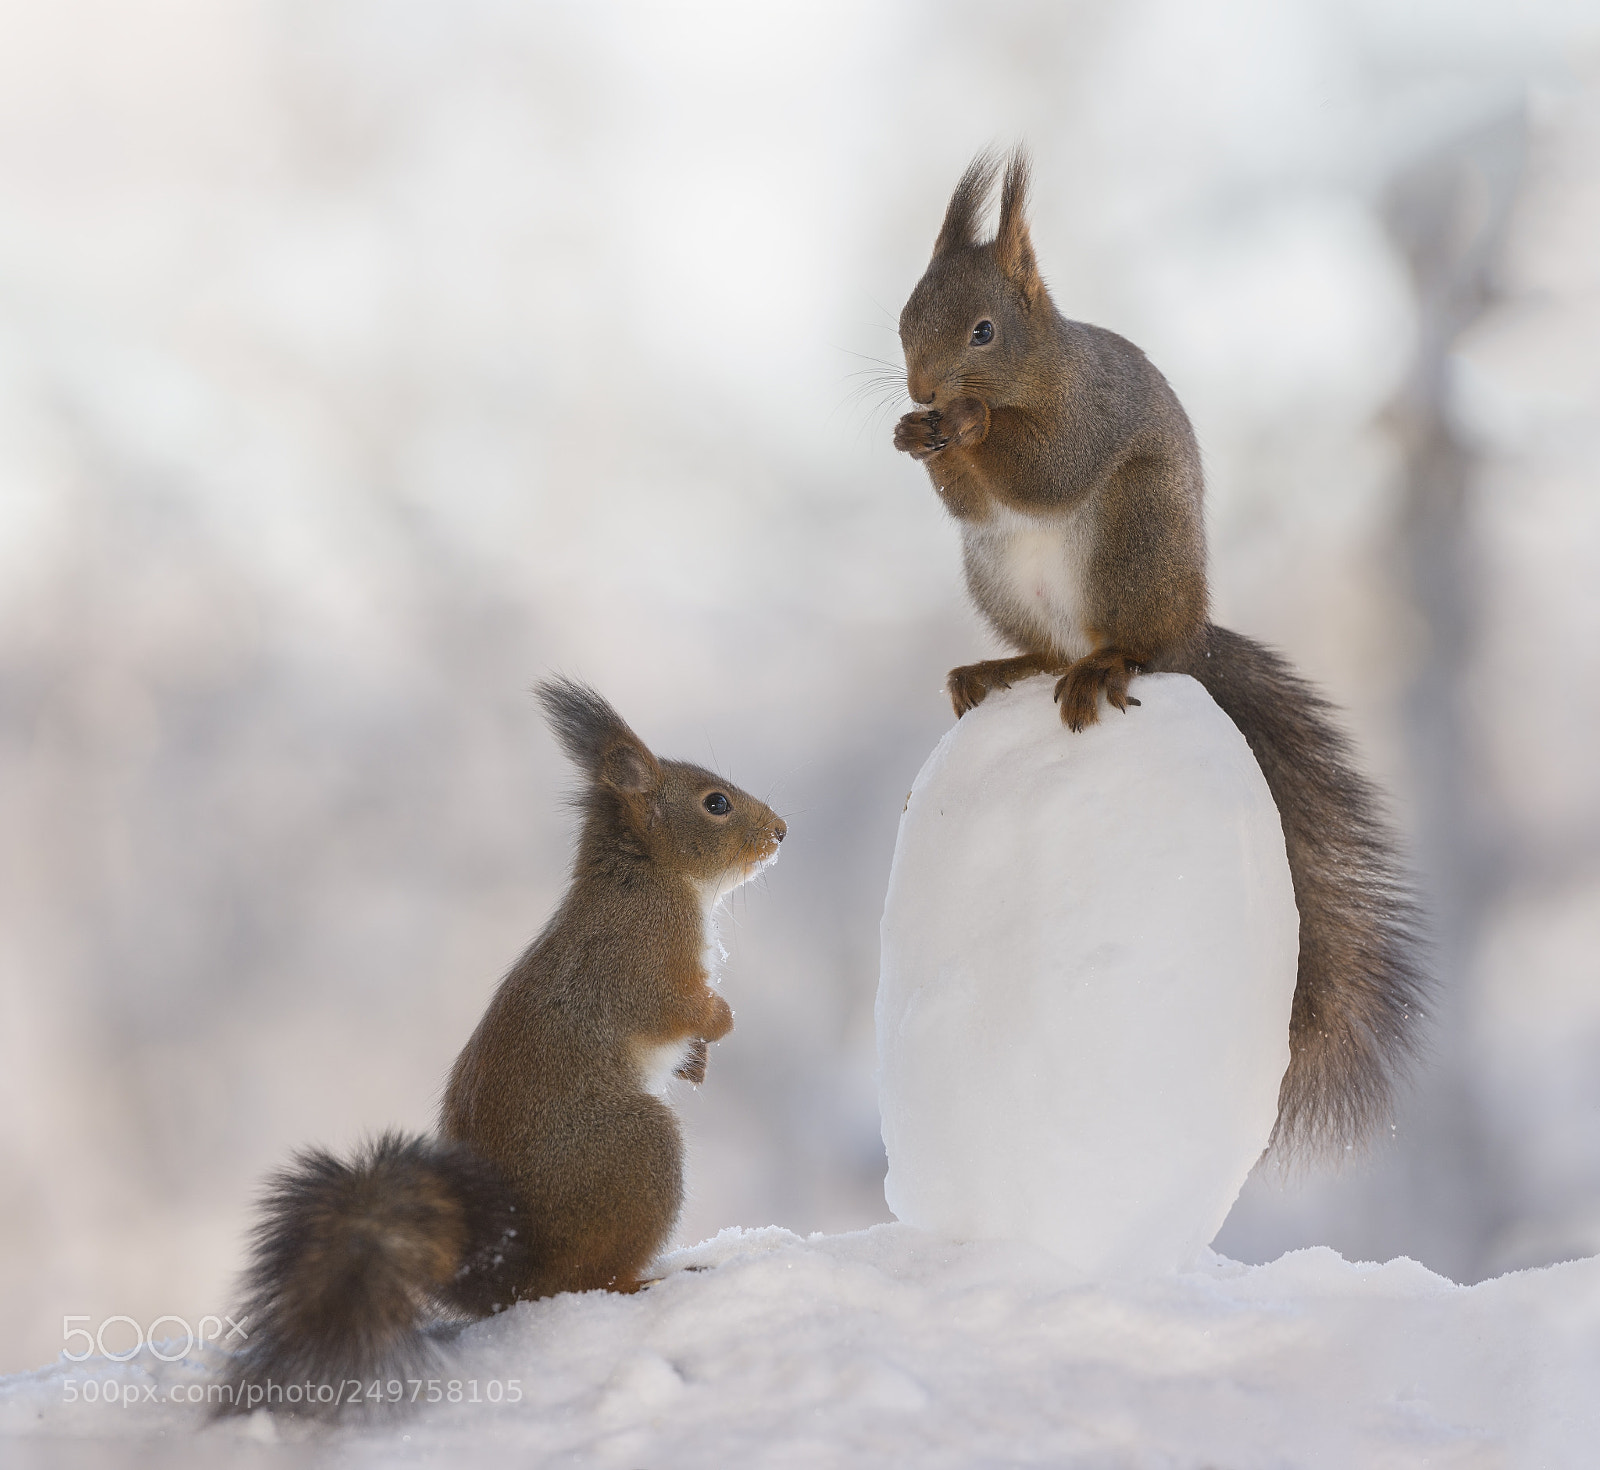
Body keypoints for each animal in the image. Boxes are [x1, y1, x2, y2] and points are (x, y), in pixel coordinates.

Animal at [217, 679, 786, 1416]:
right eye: (716, 803)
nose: (781, 831)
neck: (647, 876)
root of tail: (512, 1273)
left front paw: (697, 1062)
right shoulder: (641, 964)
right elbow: (679, 1009)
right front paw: (718, 1025)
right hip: (636, 1152)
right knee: (588, 1282)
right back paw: (644, 1280)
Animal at [893, 148, 1427, 1161]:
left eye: (983, 330)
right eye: (903, 316)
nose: (922, 394)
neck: (1042, 362)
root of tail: (1193, 630)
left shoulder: (1086, 416)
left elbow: (1043, 465)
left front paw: (972, 427)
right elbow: (967, 497)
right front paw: (917, 439)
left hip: (1132, 542)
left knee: (1128, 647)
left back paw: (1104, 668)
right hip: (997, 577)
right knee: (1044, 650)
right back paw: (1001, 671)